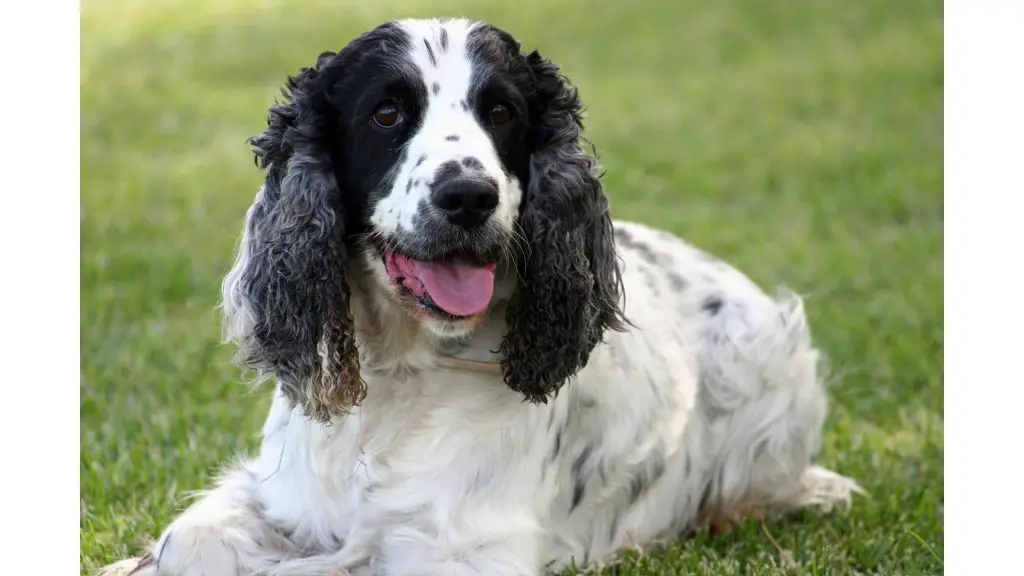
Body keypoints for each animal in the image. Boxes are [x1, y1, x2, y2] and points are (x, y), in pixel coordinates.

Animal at [99, 16, 860, 573]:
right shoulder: (279, 496)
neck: (402, 378)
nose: (467, 195)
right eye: (386, 114)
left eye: (501, 111)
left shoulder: (461, 554)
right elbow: (190, 542)